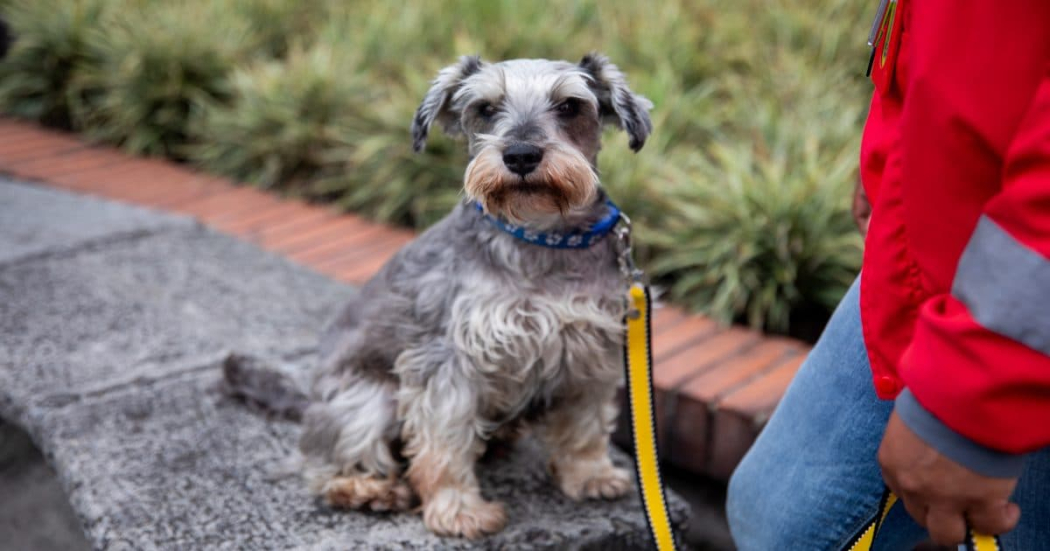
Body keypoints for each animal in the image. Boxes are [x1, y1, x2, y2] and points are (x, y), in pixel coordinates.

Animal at [223, 52, 646, 537]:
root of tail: (309, 400)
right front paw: (459, 510)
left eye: (570, 106)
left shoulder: (592, 351)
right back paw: (370, 490)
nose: (520, 155)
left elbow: (585, 425)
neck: (542, 238)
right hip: (369, 400)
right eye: (484, 108)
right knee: (324, 465)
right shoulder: (447, 361)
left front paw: (591, 475)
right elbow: (444, 442)